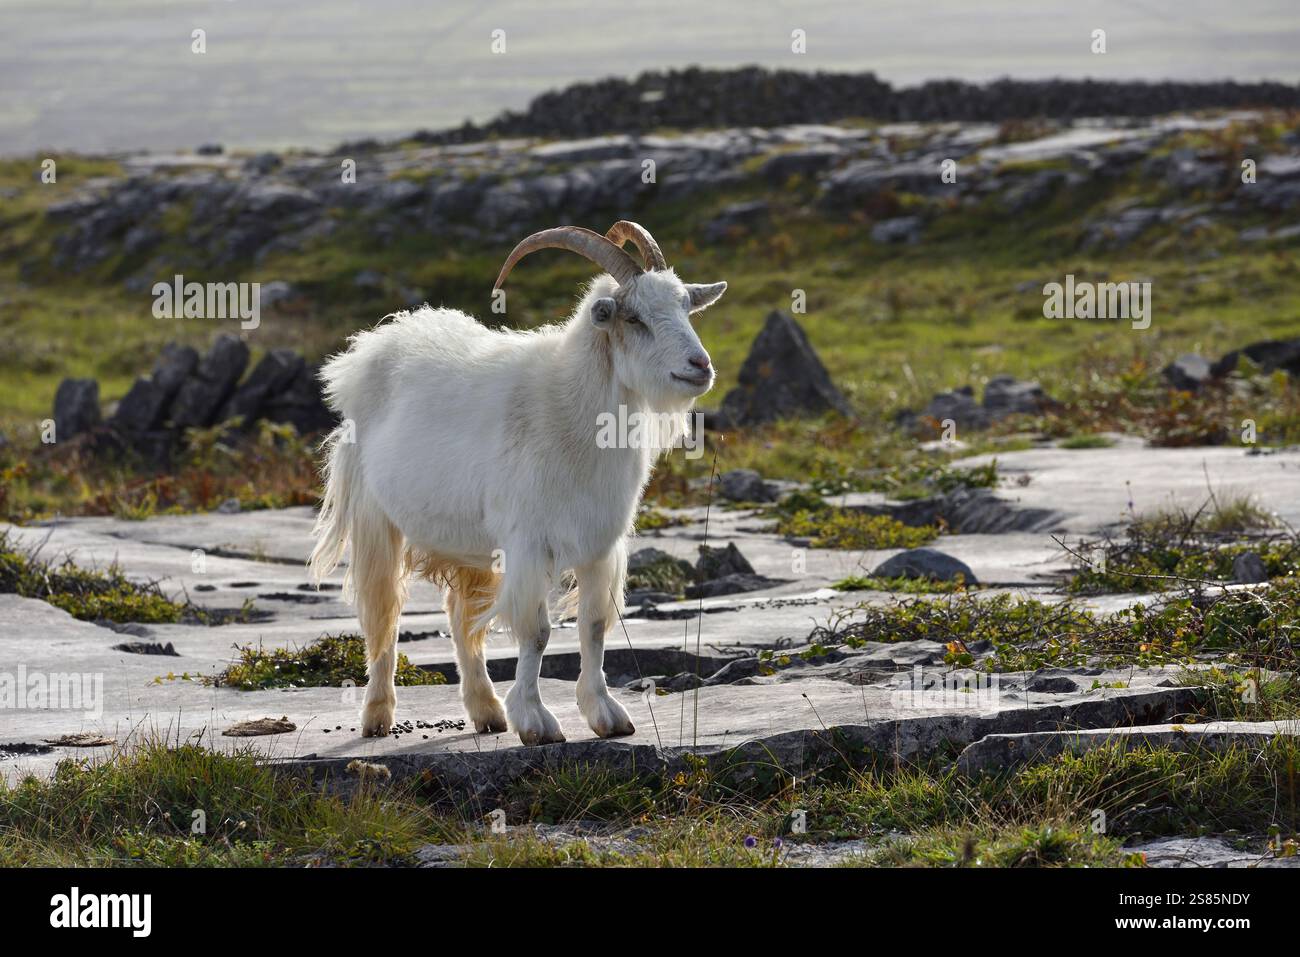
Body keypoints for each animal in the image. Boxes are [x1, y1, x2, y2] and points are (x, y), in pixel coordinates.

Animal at [309, 222, 727, 744]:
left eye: (685, 308)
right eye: (633, 318)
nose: (700, 366)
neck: (569, 411)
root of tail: (371, 347)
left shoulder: (599, 545)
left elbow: (593, 626)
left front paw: (605, 714)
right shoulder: (529, 543)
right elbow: (537, 632)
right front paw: (536, 720)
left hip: (470, 541)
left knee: (461, 616)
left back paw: (486, 711)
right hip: (376, 519)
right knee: (382, 613)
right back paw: (377, 717)